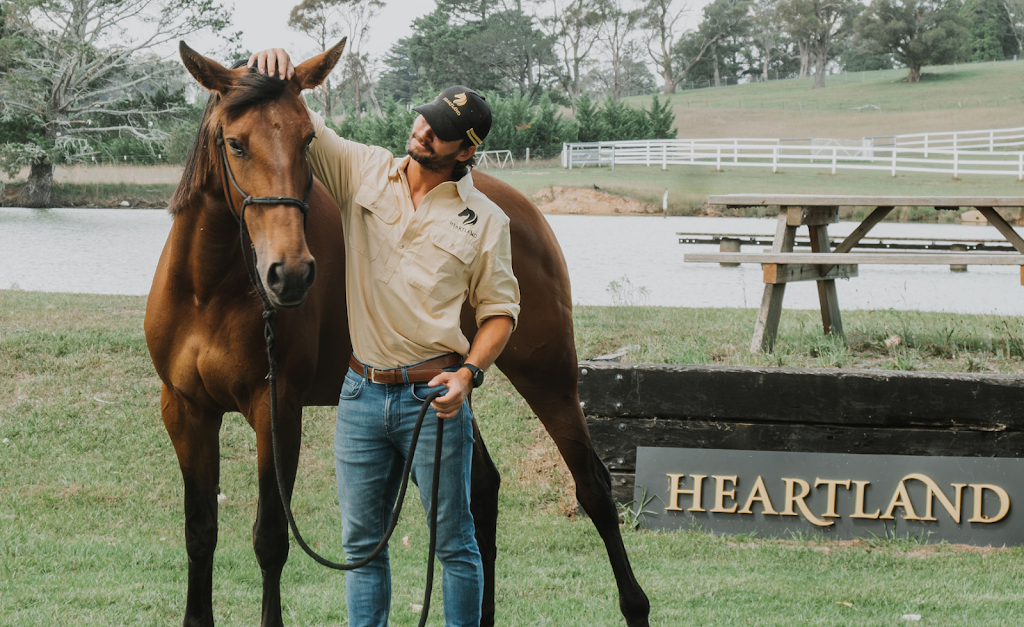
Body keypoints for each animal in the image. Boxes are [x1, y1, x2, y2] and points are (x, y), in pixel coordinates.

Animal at [144, 39, 651, 627]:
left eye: (307, 139)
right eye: (235, 144)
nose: (289, 274)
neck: (209, 289)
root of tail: (520, 210)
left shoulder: (276, 409)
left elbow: (270, 539)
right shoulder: (185, 411)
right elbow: (200, 532)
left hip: (547, 376)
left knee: (593, 486)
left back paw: (635, 605)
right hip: (452, 389)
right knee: (481, 492)